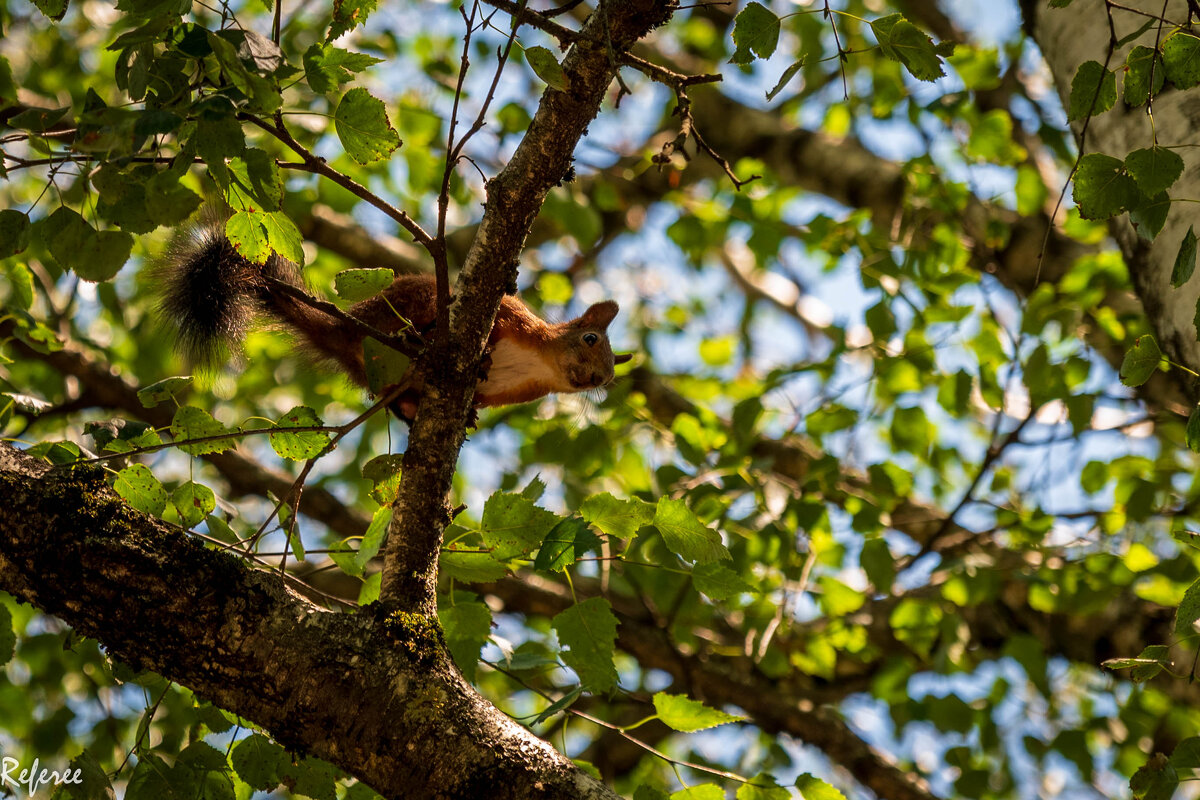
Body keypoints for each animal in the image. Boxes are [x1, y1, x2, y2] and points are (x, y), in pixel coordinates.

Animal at [157, 219, 638, 419]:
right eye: (591, 338)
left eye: (608, 381)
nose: (594, 378)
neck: (540, 362)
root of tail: (344, 331)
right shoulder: (512, 319)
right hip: (412, 303)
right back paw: (418, 338)